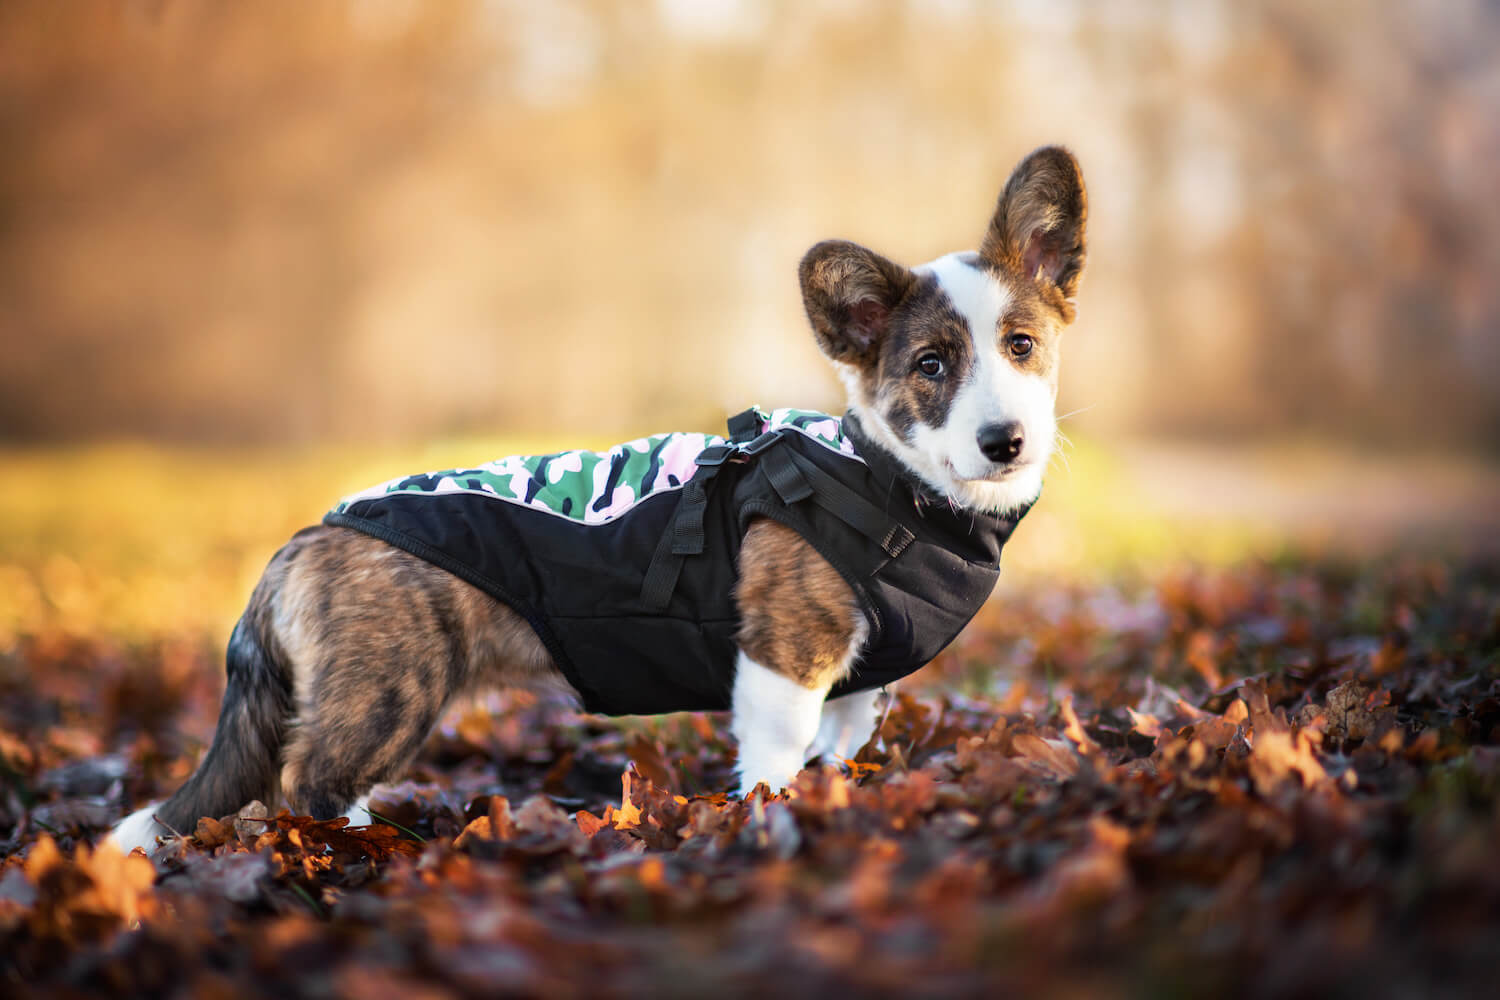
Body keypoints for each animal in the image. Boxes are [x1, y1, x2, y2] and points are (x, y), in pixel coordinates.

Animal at [108, 144, 1092, 857]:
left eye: (1021, 345)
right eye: (930, 365)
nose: (1006, 441)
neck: (899, 486)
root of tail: (304, 541)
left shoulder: (858, 687)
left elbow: (838, 749)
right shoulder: (784, 661)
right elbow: (773, 763)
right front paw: (771, 821)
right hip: (386, 694)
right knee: (301, 784)